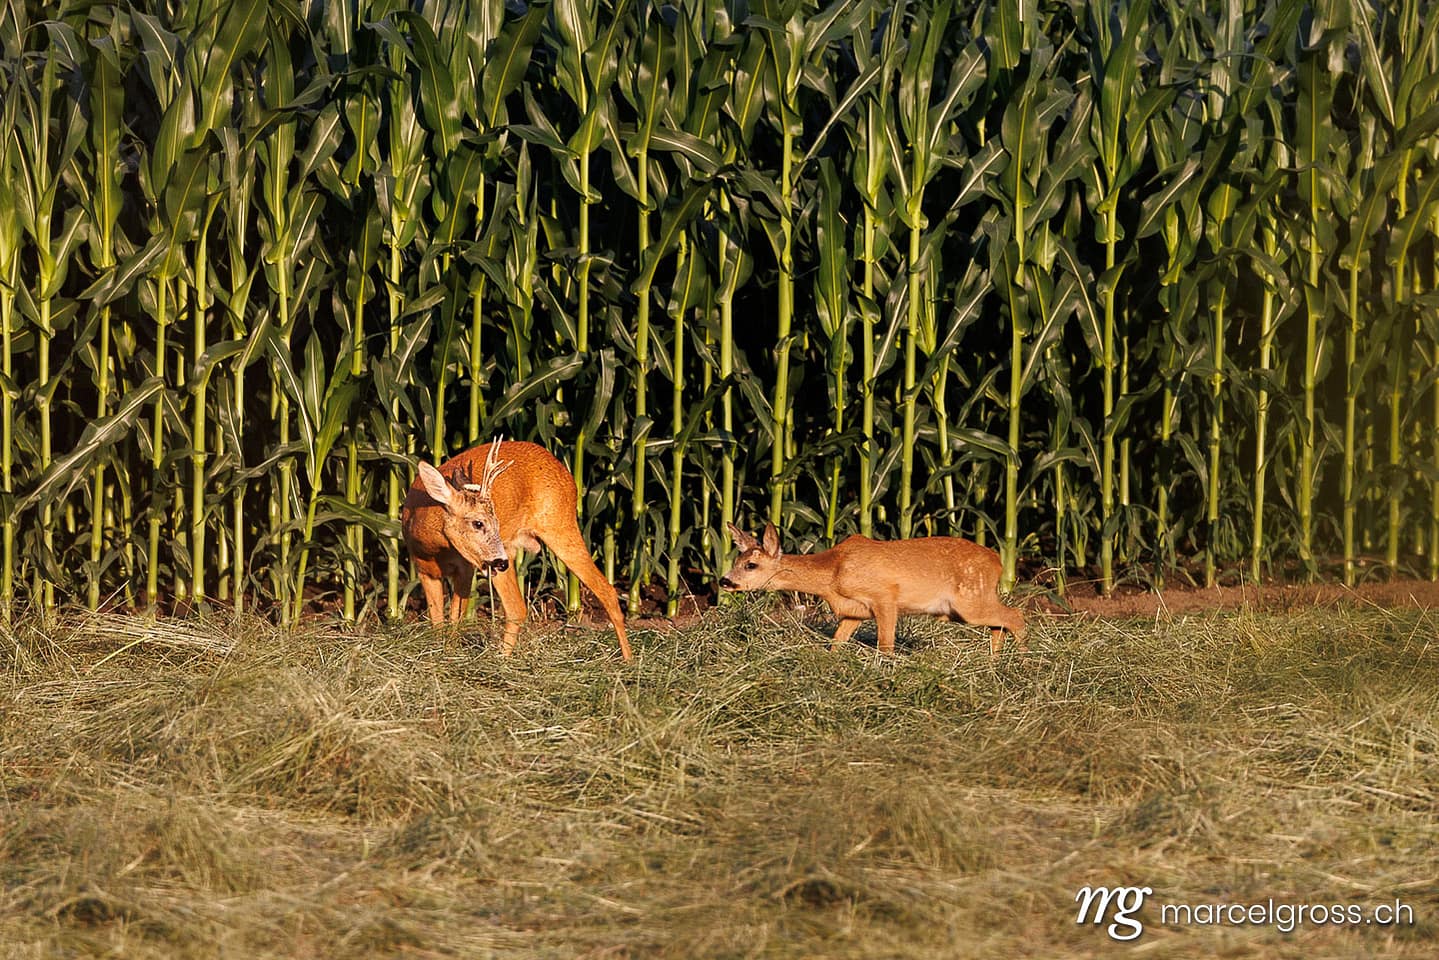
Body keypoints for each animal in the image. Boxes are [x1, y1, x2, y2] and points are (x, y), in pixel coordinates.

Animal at [402, 438, 632, 661]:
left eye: (495, 522)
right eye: (478, 523)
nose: (499, 562)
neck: (434, 548)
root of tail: (569, 476)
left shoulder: (466, 567)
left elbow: (455, 618)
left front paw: (449, 653)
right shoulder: (424, 569)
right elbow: (437, 621)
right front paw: (439, 654)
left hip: (559, 525)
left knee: (606, 590)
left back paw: (628, 661)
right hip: (510, 550)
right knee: (518, 608)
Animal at [718, 522, 1027, 656]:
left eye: (751, 565)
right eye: (737, 561)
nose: (724, 581)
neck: (833, 572)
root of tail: (998, 561)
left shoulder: (885, 596)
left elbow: (886, 645)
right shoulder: (855, 611)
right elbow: (836, 642)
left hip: (970, 601)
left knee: (1016, 616)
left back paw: (1023, 660)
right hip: (967, 605)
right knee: (1001, 622)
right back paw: (994, 661)